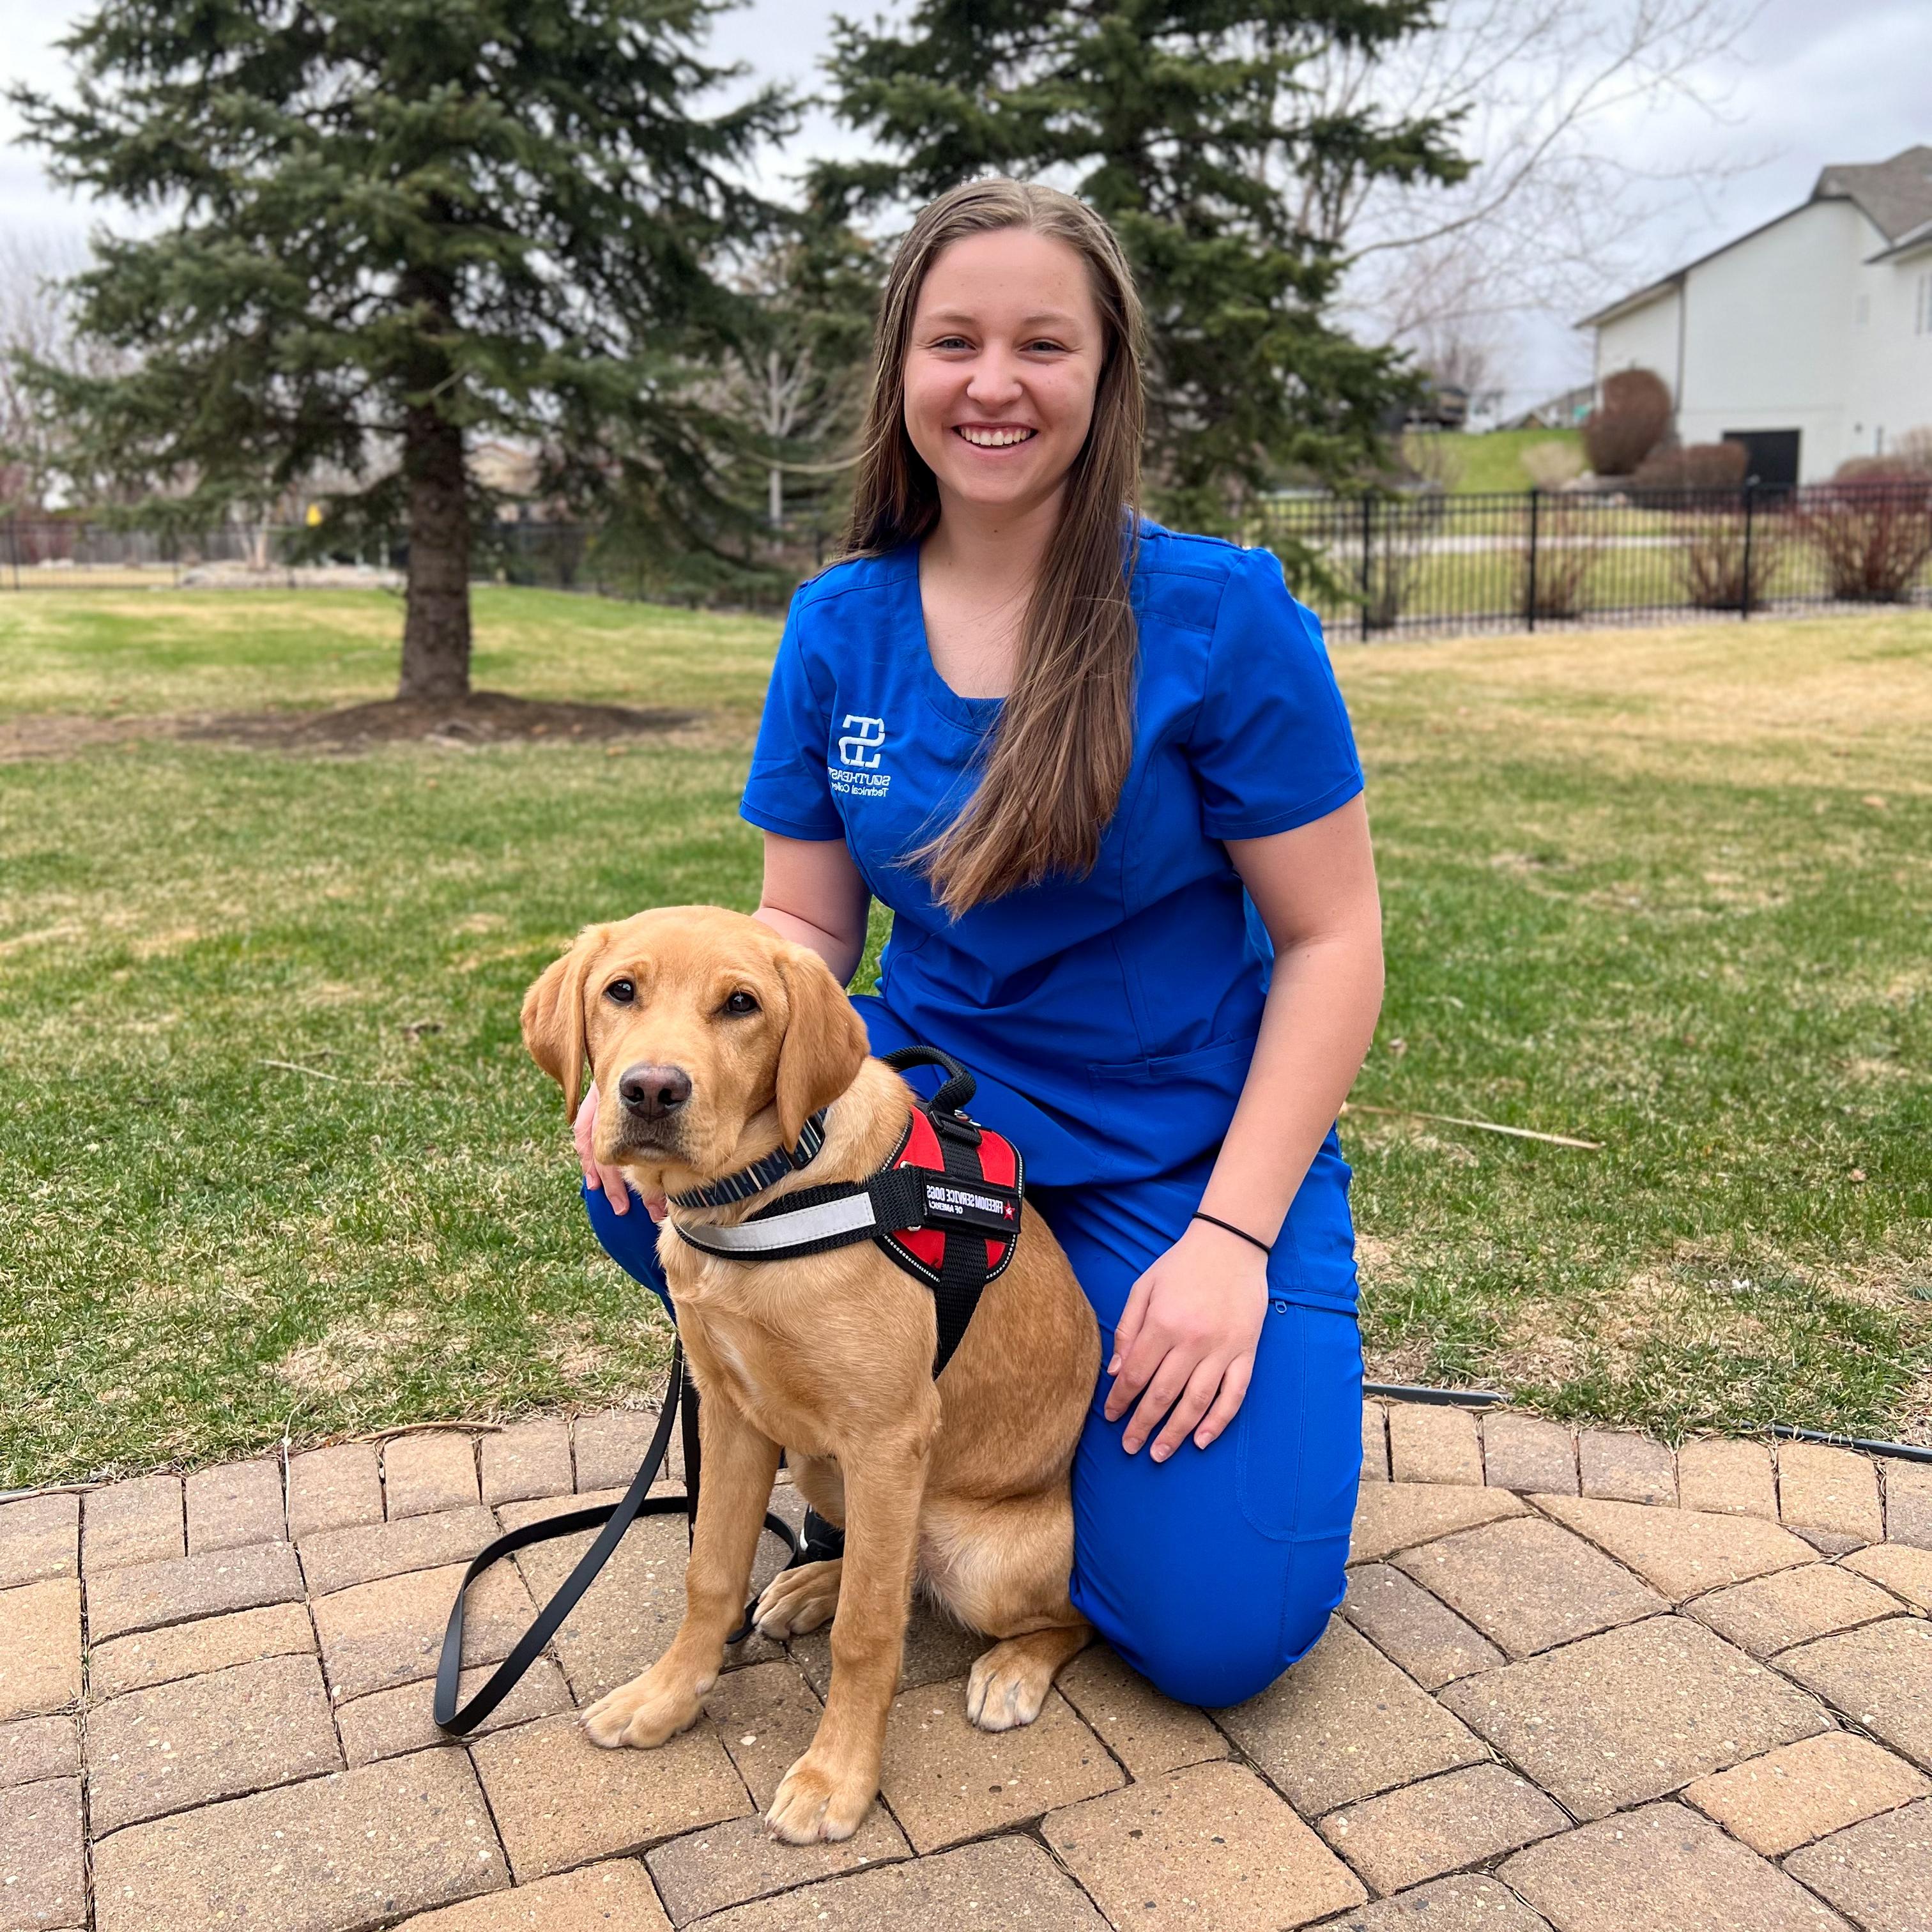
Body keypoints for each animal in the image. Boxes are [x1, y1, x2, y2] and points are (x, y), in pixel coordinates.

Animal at [525, 904, 1105, 1839]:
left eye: (741, 1005)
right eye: (620, 991)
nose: (651, 1091)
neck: (763, 1192)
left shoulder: (889, 1437)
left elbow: (868, 1633)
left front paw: (838, 1777)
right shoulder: (731, 1410)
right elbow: (711, 1573)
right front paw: (666, 1698)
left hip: (979, 1554)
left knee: (1060, 1613)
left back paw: (1014, 1669)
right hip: (818, 1463)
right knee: (895, 1571)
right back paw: (807, 1586)